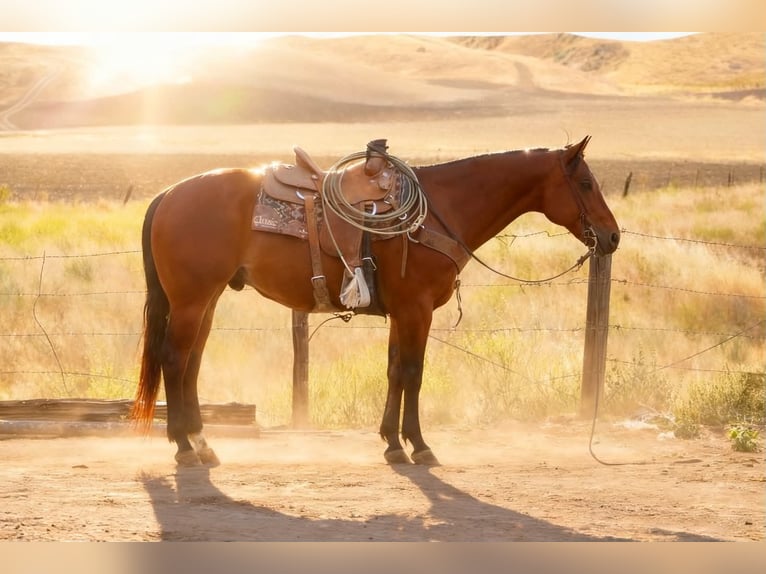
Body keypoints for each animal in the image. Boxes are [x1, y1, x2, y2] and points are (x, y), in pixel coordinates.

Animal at [131, 135, 620, 466]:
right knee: (174, 359)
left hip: (207, 299)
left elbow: (393, 370)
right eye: (585, 182)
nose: (613, 236)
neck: (439, 210)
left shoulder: (401, 313)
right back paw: (183, 446)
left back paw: (201, 443)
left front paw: (391, 442)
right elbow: (413, 373)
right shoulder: (416, 310)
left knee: (192, 363)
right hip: (192, 300)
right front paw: (418, 445)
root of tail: (168, 194)